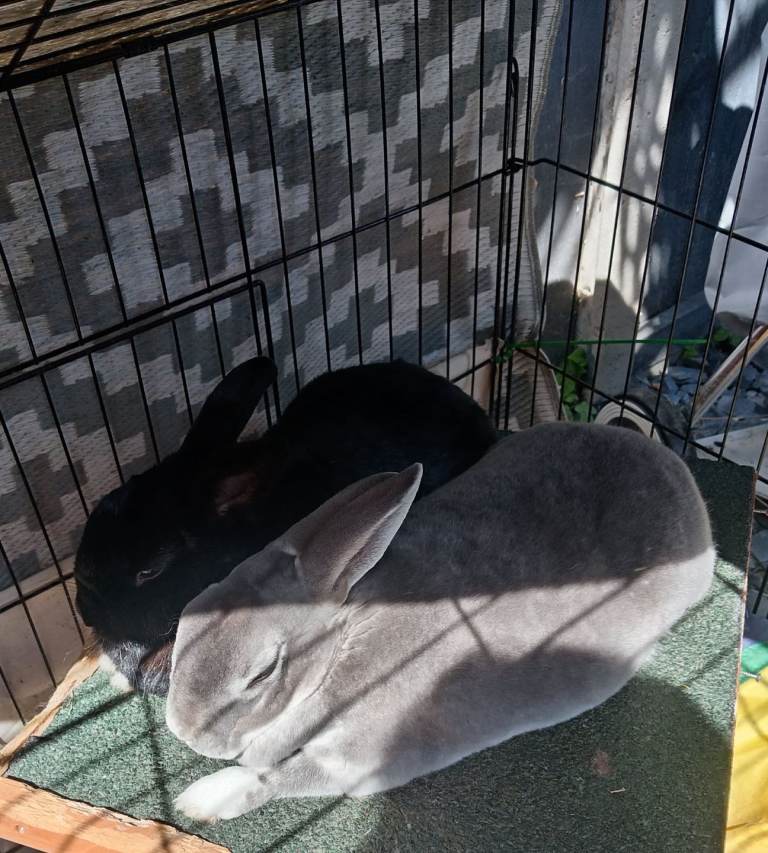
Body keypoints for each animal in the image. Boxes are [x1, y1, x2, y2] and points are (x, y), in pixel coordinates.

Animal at [166, 421, 715, 823]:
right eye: (187, 616)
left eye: (260, 674)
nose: (183, 733)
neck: (342, 644)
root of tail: (669, 463)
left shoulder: (359, 759)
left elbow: (276, 778)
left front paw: (200, 800)